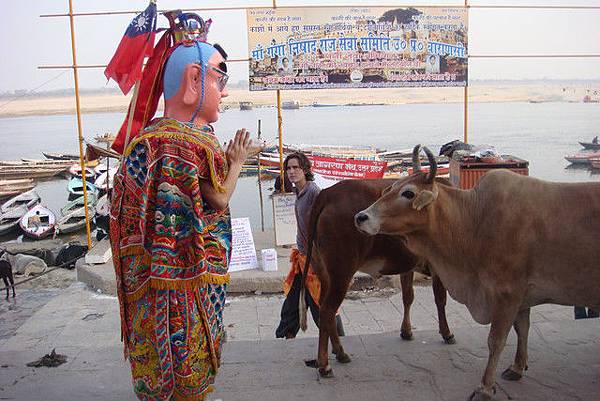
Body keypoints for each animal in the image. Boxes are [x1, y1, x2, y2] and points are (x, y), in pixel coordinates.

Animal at [300, 177, 454, 378]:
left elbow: (408, 297)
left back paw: (340, 353)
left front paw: (406, 331)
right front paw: (446, 332)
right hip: (341, 273)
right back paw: (325, 365)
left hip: (324, 273)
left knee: (325, 310)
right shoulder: (438, 265)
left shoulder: (408, 265)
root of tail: (328, 193)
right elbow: (440, 299)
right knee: (327, 310)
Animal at [354, 146, 600, 400]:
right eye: (392, 187)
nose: (361, 217)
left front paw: (485, 387)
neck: (474, 220)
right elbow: (522, 329)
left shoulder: (507, 294)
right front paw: (517, 367)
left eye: (409, 193)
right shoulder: (522, 295)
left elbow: (496, 340)